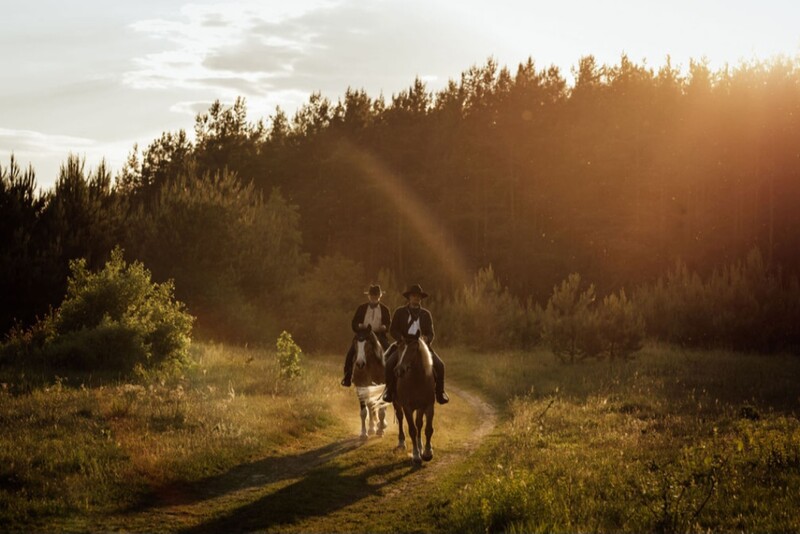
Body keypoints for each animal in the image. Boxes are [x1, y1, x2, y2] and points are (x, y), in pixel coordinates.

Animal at [392, 338, 434, 466]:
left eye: (413, 349)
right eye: (400, 348)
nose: (398, 370)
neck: (417, 380)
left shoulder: (427, 405)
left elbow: (427, 429)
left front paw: (427, 453)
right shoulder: (407, 407)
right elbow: (412, 430)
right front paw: (416, 456)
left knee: (419, 424)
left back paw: (420, 446)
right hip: (397, 404)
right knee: (400, 418)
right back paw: (401, 442)